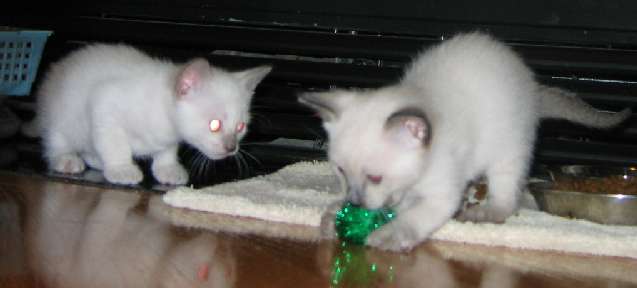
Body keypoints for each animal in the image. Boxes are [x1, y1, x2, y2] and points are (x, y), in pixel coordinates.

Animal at [300, 31, 632, 251]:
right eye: (340, 172)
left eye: (375, 177)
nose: (355, 203)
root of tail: (534, 89)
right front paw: (332, 217)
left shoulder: (440, 194)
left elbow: (412, 219)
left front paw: (385, 237)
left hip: (508, 151)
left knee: (506, 198)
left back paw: (484, 212)